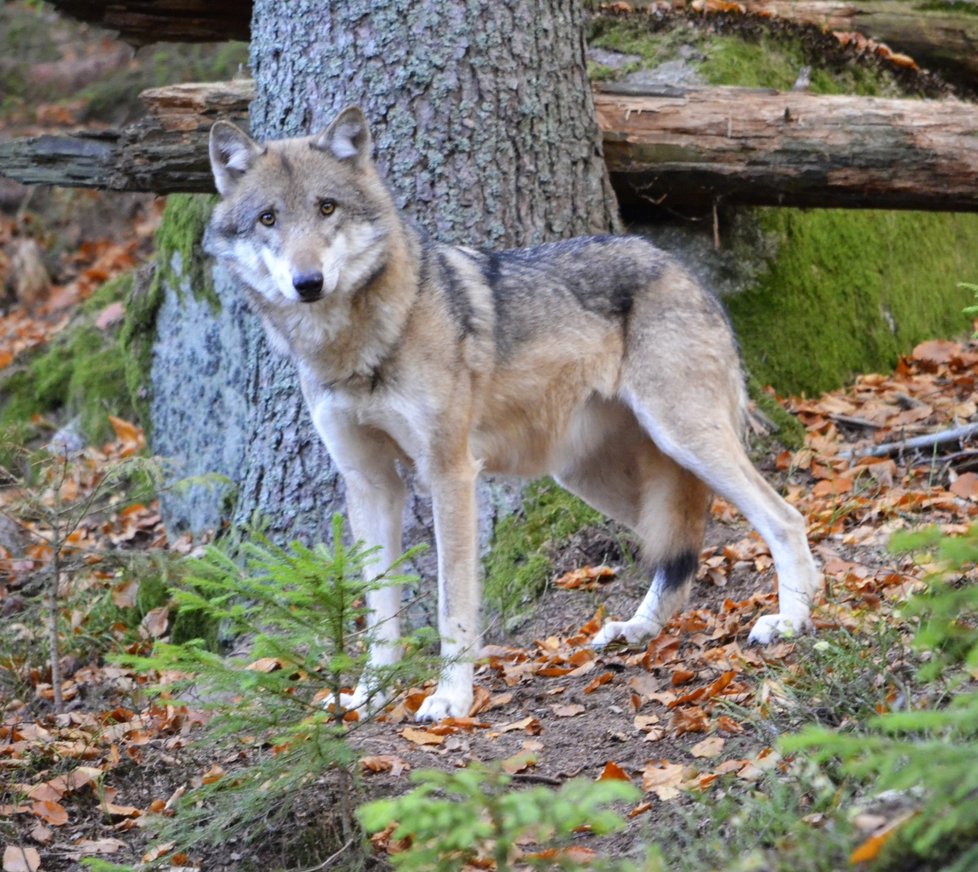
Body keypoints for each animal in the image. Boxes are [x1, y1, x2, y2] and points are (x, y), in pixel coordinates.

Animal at [206, 105, 824, 724]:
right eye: (268, 219)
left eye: (326, 208)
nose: (307, 283)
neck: (359, 346)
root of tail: (679, 265)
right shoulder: (369, 482)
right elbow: (379, 612)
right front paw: (370, 695)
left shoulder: (450, 474)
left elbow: (451, 606)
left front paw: (450, 699)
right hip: (591, 476)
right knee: (682, 545)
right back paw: (637, 628)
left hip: (684, 440)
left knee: (784, 519)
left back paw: (789, 622)